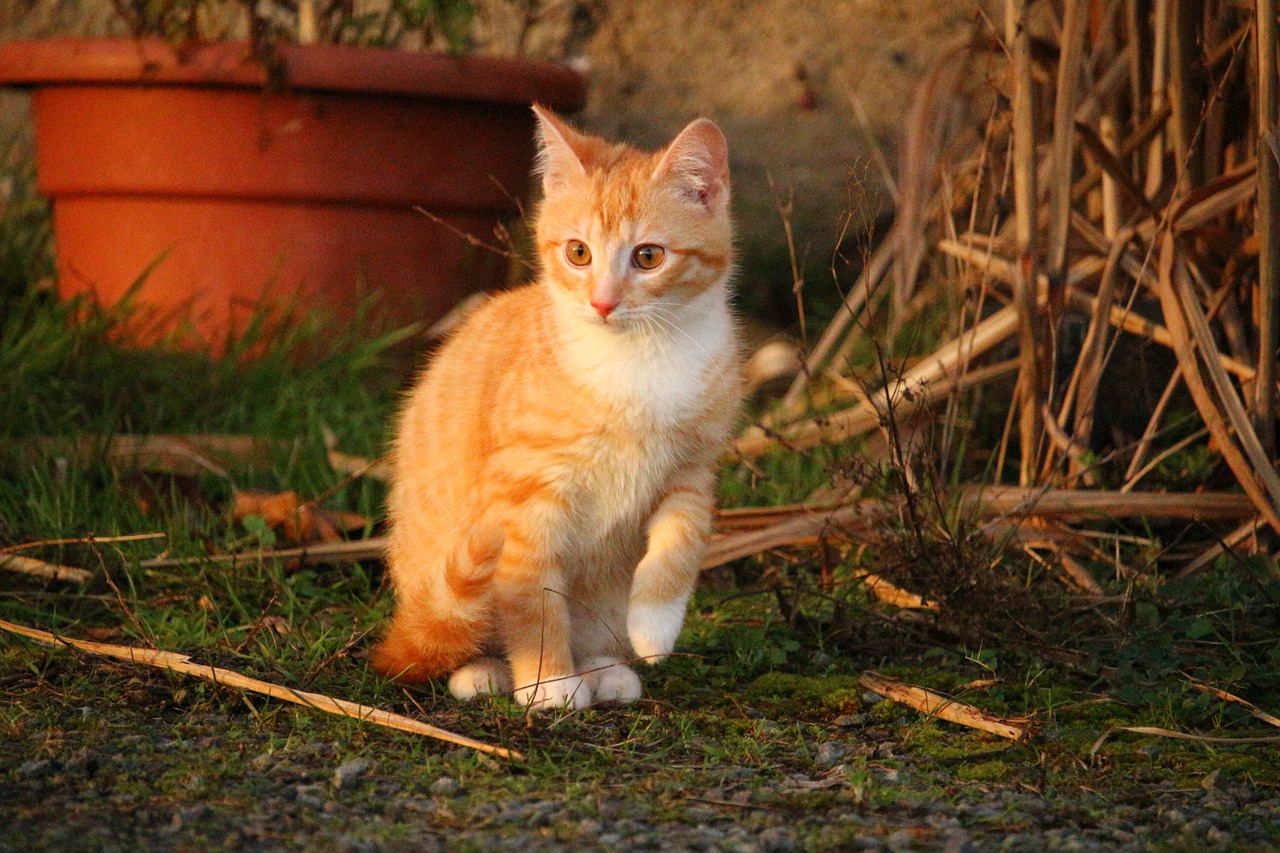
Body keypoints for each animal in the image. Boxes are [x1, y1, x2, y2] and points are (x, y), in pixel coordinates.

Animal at [371, 103, 742, 706]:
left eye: (648, 256)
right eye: (578, 253)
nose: (602, 302)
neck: (637, 360)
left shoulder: (694, 469)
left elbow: (681, 545)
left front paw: (656, 627)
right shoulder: (530, 493)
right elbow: (532, 595)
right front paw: (546, 681)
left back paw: (603, 667)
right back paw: (488, 671)